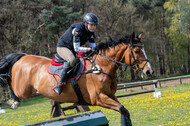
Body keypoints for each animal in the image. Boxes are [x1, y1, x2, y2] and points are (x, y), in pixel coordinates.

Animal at [0, 32, 153, 126]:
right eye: (136, 51)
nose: (149, 71)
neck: (101, 66)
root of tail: (23, 57)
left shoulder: (110, 95)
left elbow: (124, 110)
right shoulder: (98, 98)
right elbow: (122, 109)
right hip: (23, 90)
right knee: (10, 83)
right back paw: (13, 101)